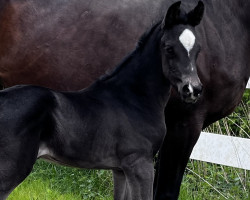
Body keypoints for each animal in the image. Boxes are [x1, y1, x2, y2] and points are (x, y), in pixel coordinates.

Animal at [0, 1, 204, 200]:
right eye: (169, 48)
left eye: (198, 50)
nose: (192, 89)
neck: (134, 99)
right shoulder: (140, 163)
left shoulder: (120, 170)